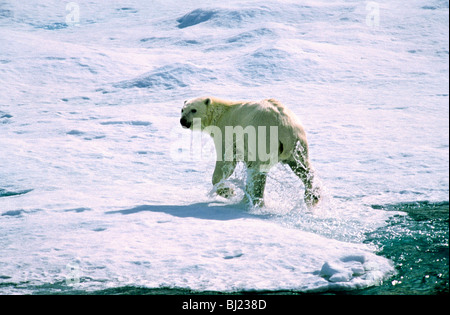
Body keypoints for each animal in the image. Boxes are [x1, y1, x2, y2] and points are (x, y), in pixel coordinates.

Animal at [179, 97, 320, 209]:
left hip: (263, 138)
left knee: (257, 172)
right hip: (298, 143)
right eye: (182, 110)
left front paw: (229, 191)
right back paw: (313, 196)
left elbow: (226, 163)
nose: (182, 121)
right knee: (302, 166)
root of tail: (285, 128)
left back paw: (253, 201)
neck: (222, 113)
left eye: (193, 110)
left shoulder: (227, 133)